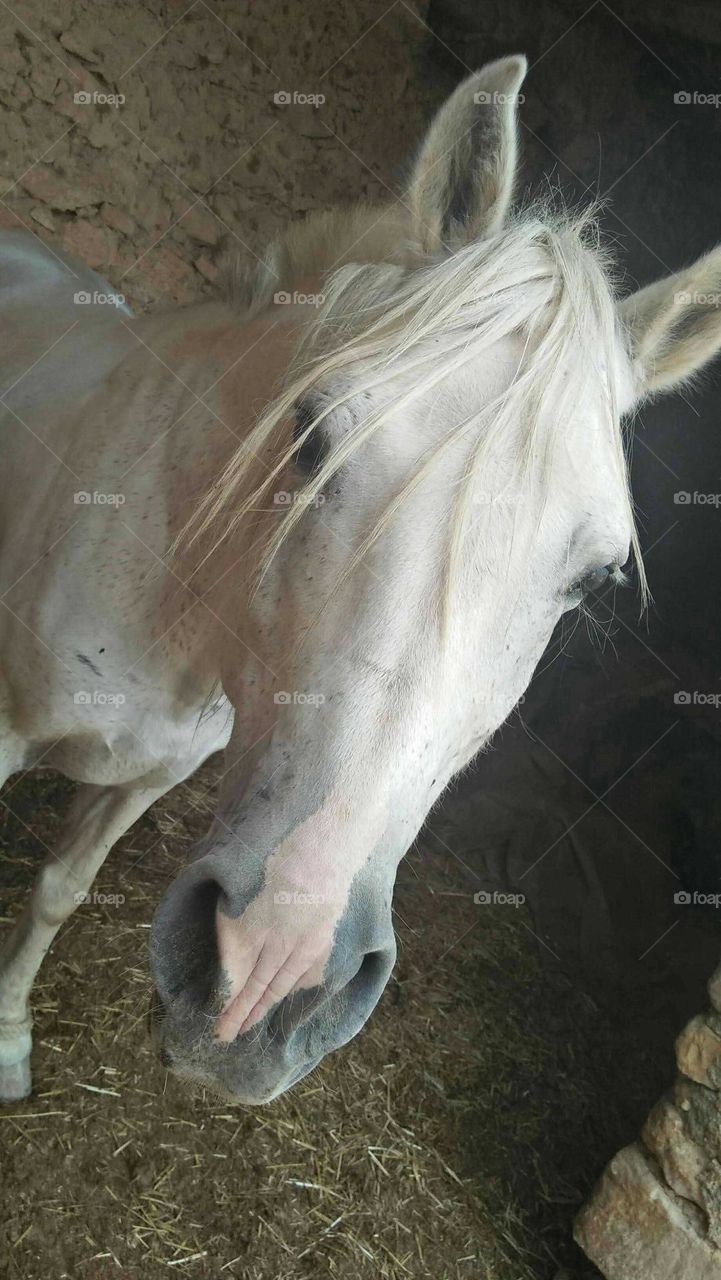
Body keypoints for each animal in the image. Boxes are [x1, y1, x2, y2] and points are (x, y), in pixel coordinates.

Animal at [1, 55, 721, 1105]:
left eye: (592, 579)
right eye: (309, 432)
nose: (273, 969)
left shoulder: (150, 775)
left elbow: (60, 889)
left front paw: (9, 1035)